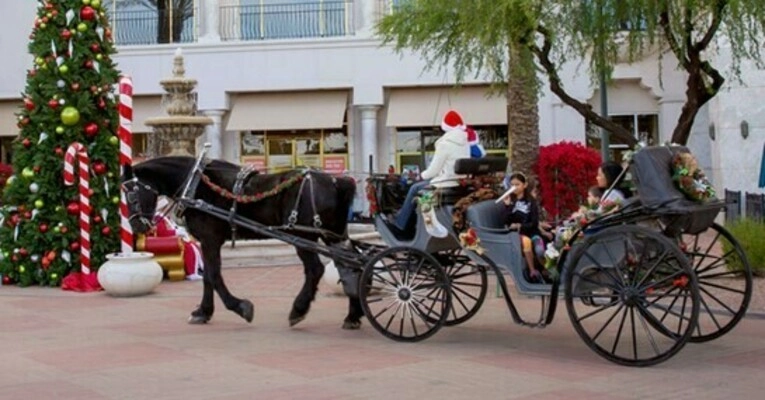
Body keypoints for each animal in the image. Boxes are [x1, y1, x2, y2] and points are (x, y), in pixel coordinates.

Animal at [122, 156, 364, 329]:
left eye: (132, 195)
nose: (137, 226)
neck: (197, 184)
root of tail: (336, 181)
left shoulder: (210, 240)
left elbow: (214, 276)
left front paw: (241, 307)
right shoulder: (208, 242)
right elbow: (208, 276)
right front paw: (203, 312)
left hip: (304, 237)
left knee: (316, 269)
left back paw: (298, 310)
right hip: (333, 235)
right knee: (350, 266)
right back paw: (353, 315)